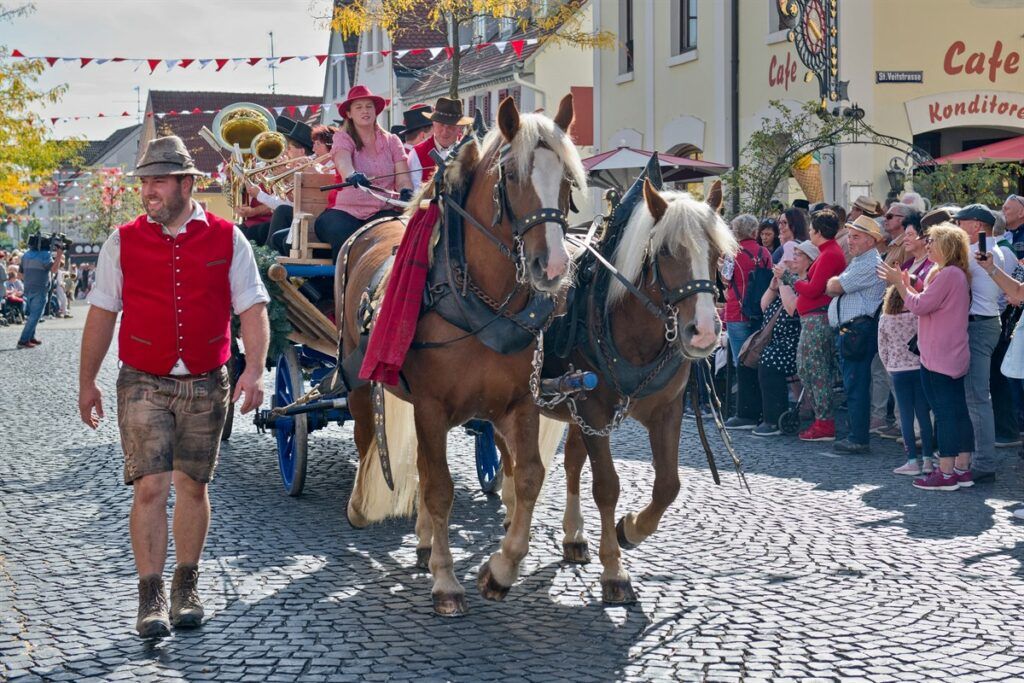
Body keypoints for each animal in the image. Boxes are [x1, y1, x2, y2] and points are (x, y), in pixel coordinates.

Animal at [334, 94, 587, 616]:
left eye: (568, 180)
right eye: (513, 176)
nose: (554, 267)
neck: (479, 304)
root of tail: (375, 225)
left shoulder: (519, 403)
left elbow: (528, 477)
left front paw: (500, 570)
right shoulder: (431, 407)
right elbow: (439, 488)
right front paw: (447, 581)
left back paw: (425, 540)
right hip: (359, 375)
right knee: (368, 435)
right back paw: (361, 505)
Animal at [497, 174, 737, 604]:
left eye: (716, 252)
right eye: (667, 252)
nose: (706, 333)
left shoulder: (667, 410)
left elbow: (668, 485)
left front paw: (631, 529)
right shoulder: (594, 409)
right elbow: (607, 486)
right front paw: (614, 570)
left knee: (571, 461)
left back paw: (574, 535)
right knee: (504, 449)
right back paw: (510, 508)